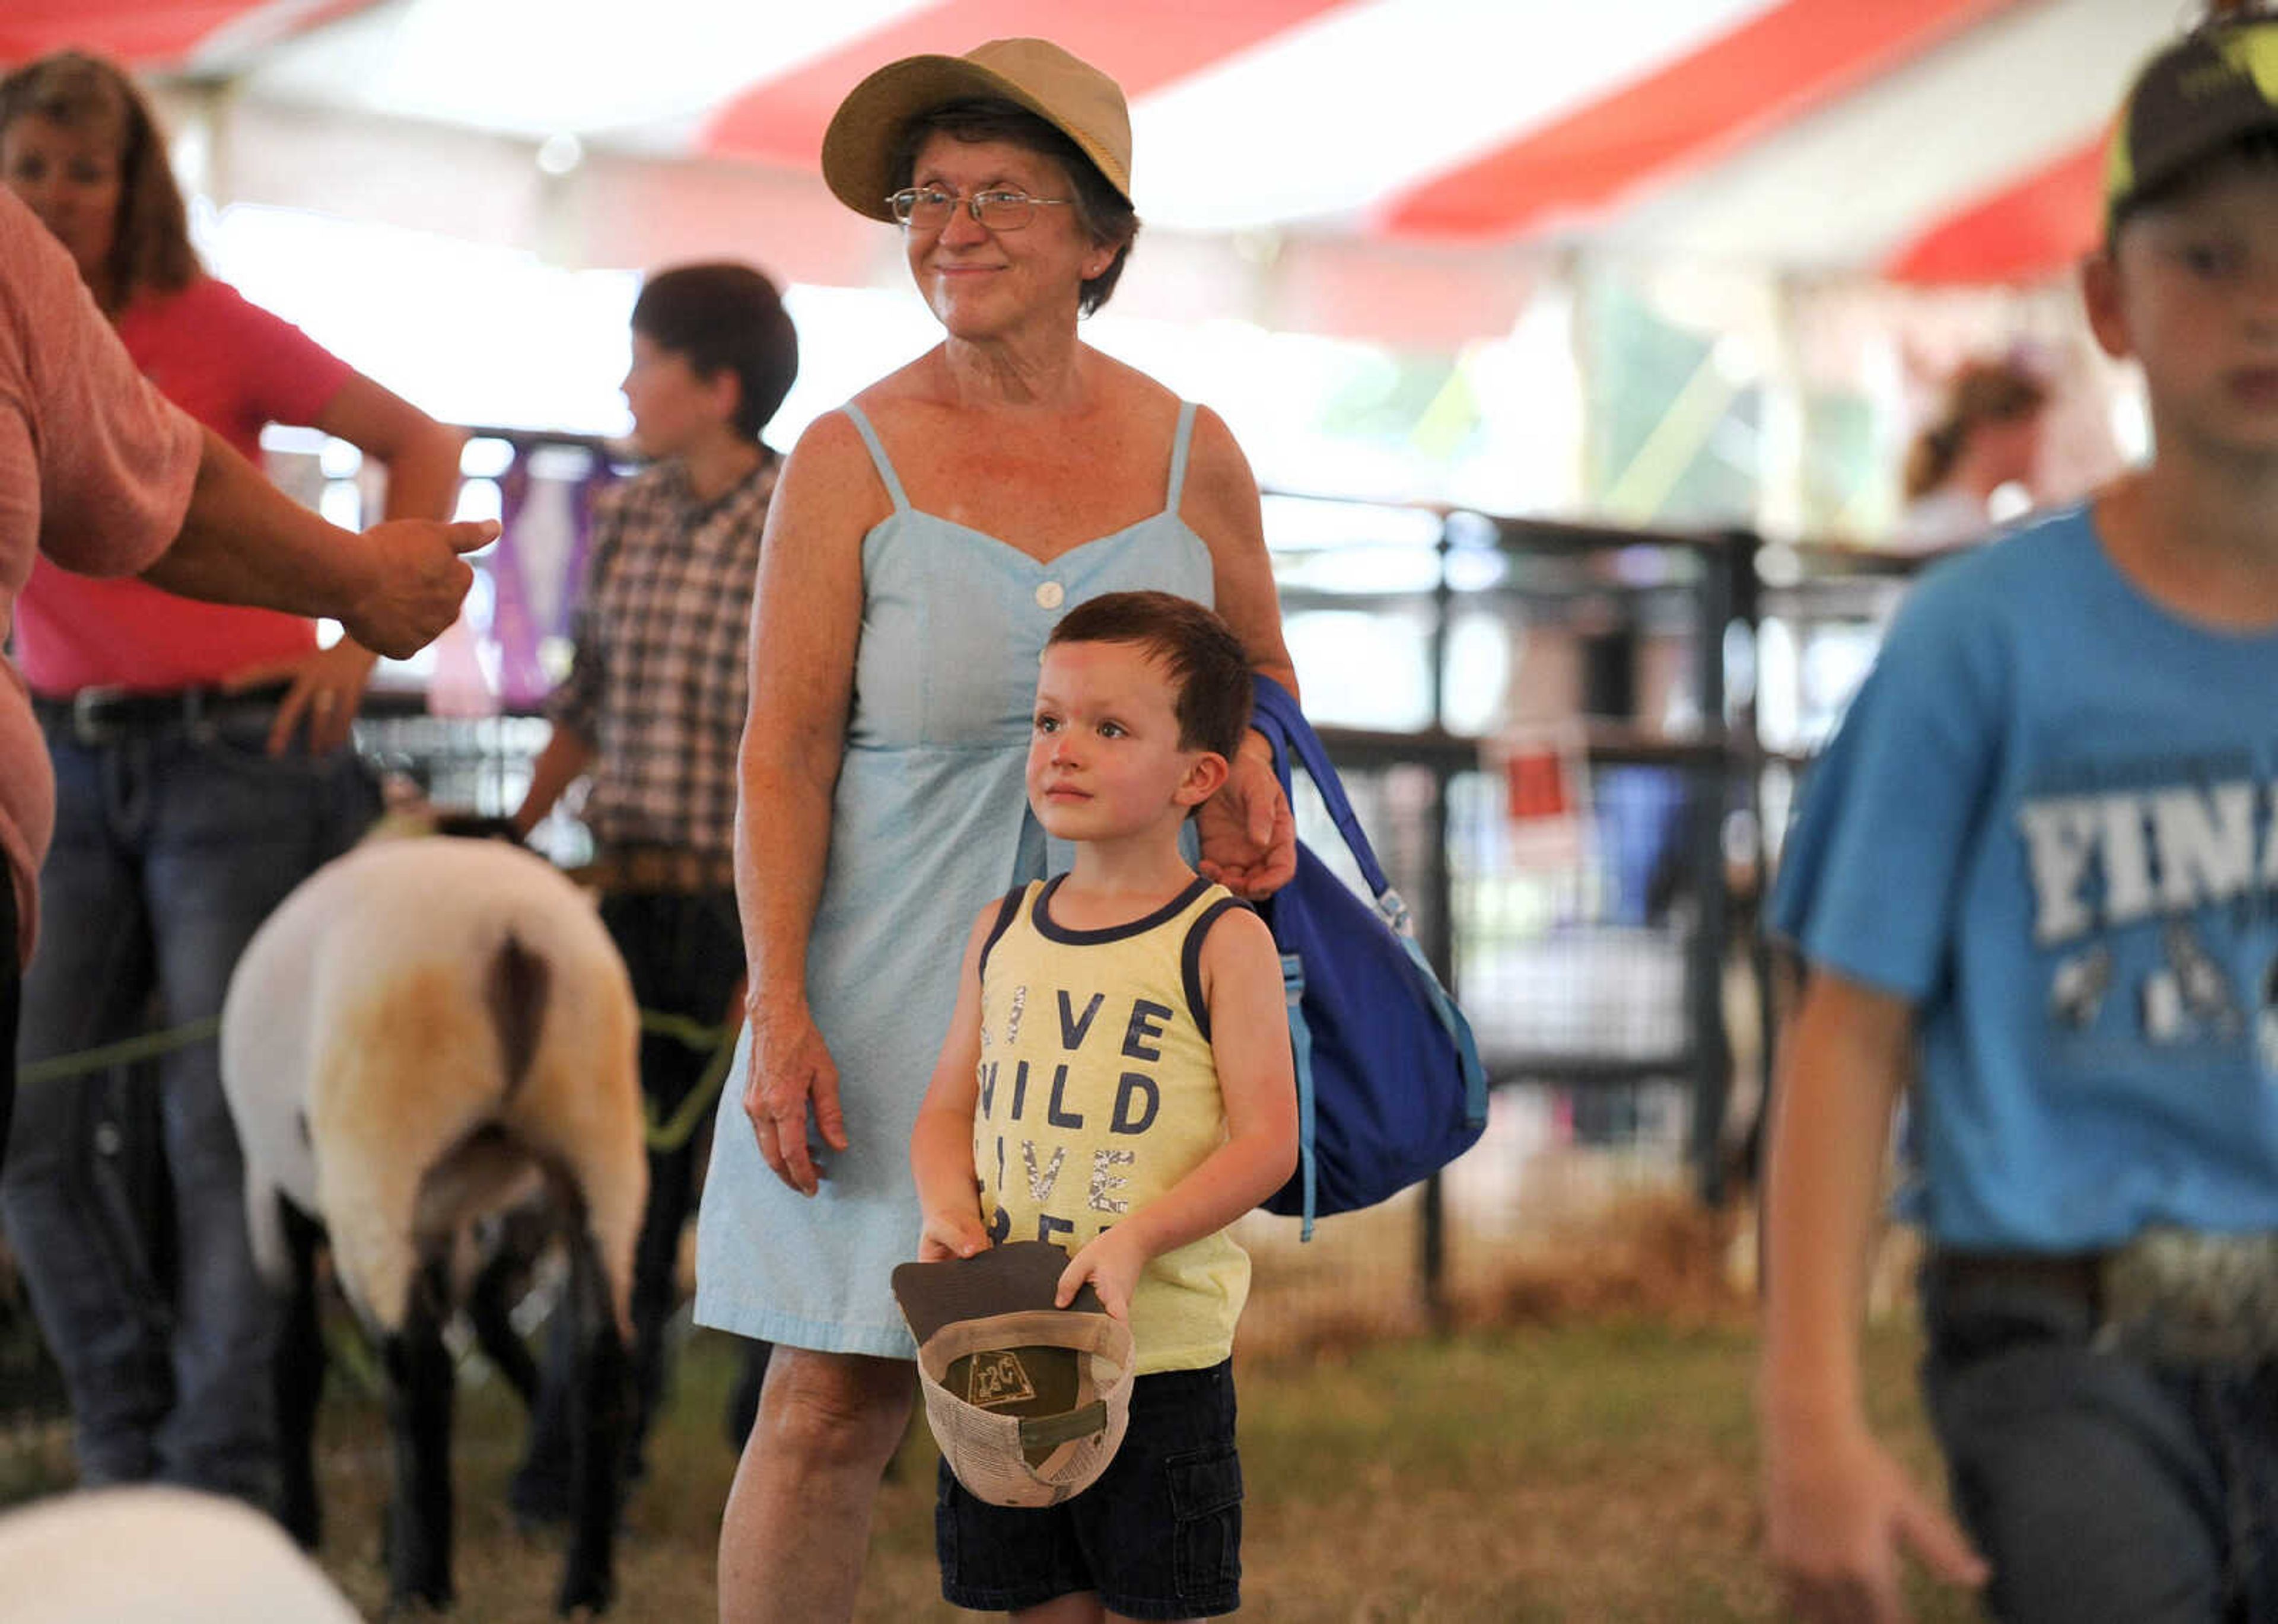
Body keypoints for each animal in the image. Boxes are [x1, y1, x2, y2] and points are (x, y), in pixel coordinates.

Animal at [217, 838, 647, 1612]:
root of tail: (512, 932)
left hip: (379, 1142)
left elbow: (295, 1357)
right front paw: (391, 1530)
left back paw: (421, 1587)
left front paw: (300, 1523)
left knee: (415, 1368)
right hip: (596, 1137)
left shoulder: (274, 1190)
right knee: (600, 1362)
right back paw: (584, 1586)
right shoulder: (443, 1222)